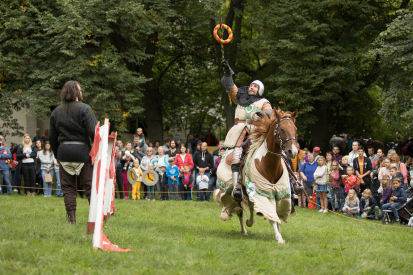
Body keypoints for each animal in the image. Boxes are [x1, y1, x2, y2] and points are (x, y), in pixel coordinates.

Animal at [214, 109, 298, 245]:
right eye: (281, 129)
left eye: (295, 129)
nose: (293, 151)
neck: (269, 164)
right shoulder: (264, 193)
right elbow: (271, 216)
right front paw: (279, 238)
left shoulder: (281, 194)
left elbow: (277, 215)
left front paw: (279, 234)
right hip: (233, 192)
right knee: (239, 210)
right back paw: (244, 230)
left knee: (251, 206)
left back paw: (250, 222)